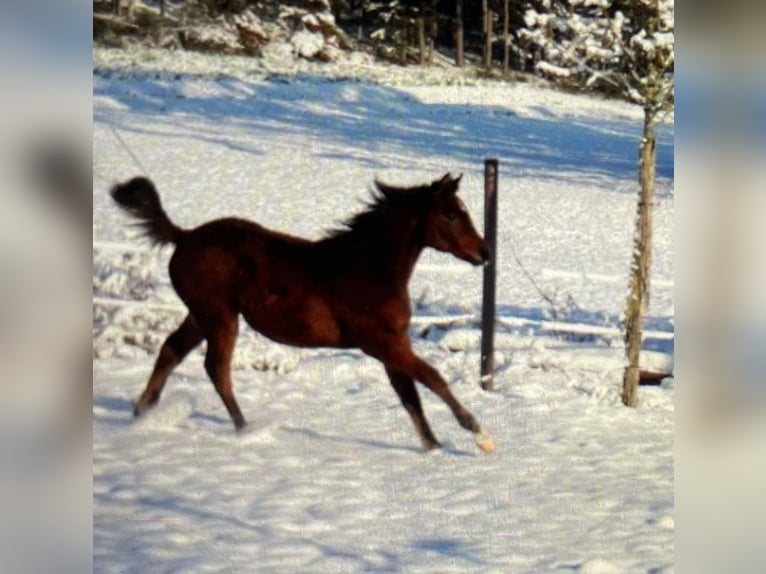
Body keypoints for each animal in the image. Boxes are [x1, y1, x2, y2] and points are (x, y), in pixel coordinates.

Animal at [112, 172, 498, 454]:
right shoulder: (380, 343)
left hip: (201, 315)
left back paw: (142, 413)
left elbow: (410, 397)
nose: (485, 252)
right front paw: (479, 432)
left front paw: (433, 448)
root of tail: (184, 236)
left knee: (171, 350)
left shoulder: (393, 346)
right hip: (220, 316)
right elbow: (432, 377)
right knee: (215, 367)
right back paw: (245, 429)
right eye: (451, 214)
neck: (369, 269)